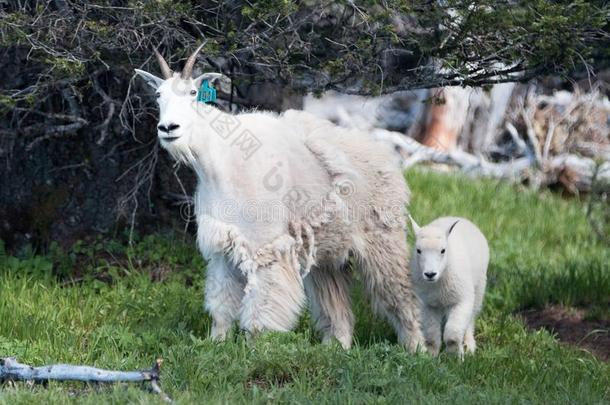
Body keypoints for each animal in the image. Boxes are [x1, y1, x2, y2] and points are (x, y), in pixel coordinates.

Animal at [135, 43, 422, 348]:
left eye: (192, 93)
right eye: (158, 95)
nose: (169, 128)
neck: (219, 162)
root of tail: (387, 158)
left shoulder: (267, 247)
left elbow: (260, 311)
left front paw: (254, 350)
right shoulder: (223, 247)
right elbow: (221, 306)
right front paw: (216, 344)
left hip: (382, 239)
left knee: (400, 292)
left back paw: (417, 347)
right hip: (328, 253)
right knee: (335, 302)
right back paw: (337, 347)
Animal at [408, 216, 490, 356]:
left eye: (443, 250)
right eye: (418, 250)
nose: (430, 274)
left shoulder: (462, 299)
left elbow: (452, 335)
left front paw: (455, 356)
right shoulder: (426, 304)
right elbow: (431, 334)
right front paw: (431, 355)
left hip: (479, 287)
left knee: (471, 317)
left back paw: (469, 345)